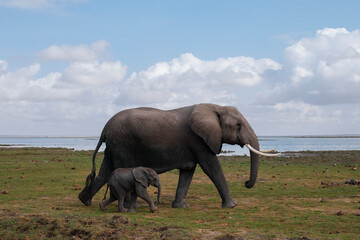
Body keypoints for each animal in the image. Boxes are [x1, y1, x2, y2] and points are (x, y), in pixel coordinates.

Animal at [79, 103, 278, 208]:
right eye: (238, 125)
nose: (246, 183)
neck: (215, 107)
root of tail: (105, 128)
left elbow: (188, 172)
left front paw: (180, 206)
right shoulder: (198, 140)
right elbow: (212, 168)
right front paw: (232, 205)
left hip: (115, 145)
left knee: (104, 172)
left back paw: (85, 201)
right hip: (123, 144)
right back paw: (129, 207)